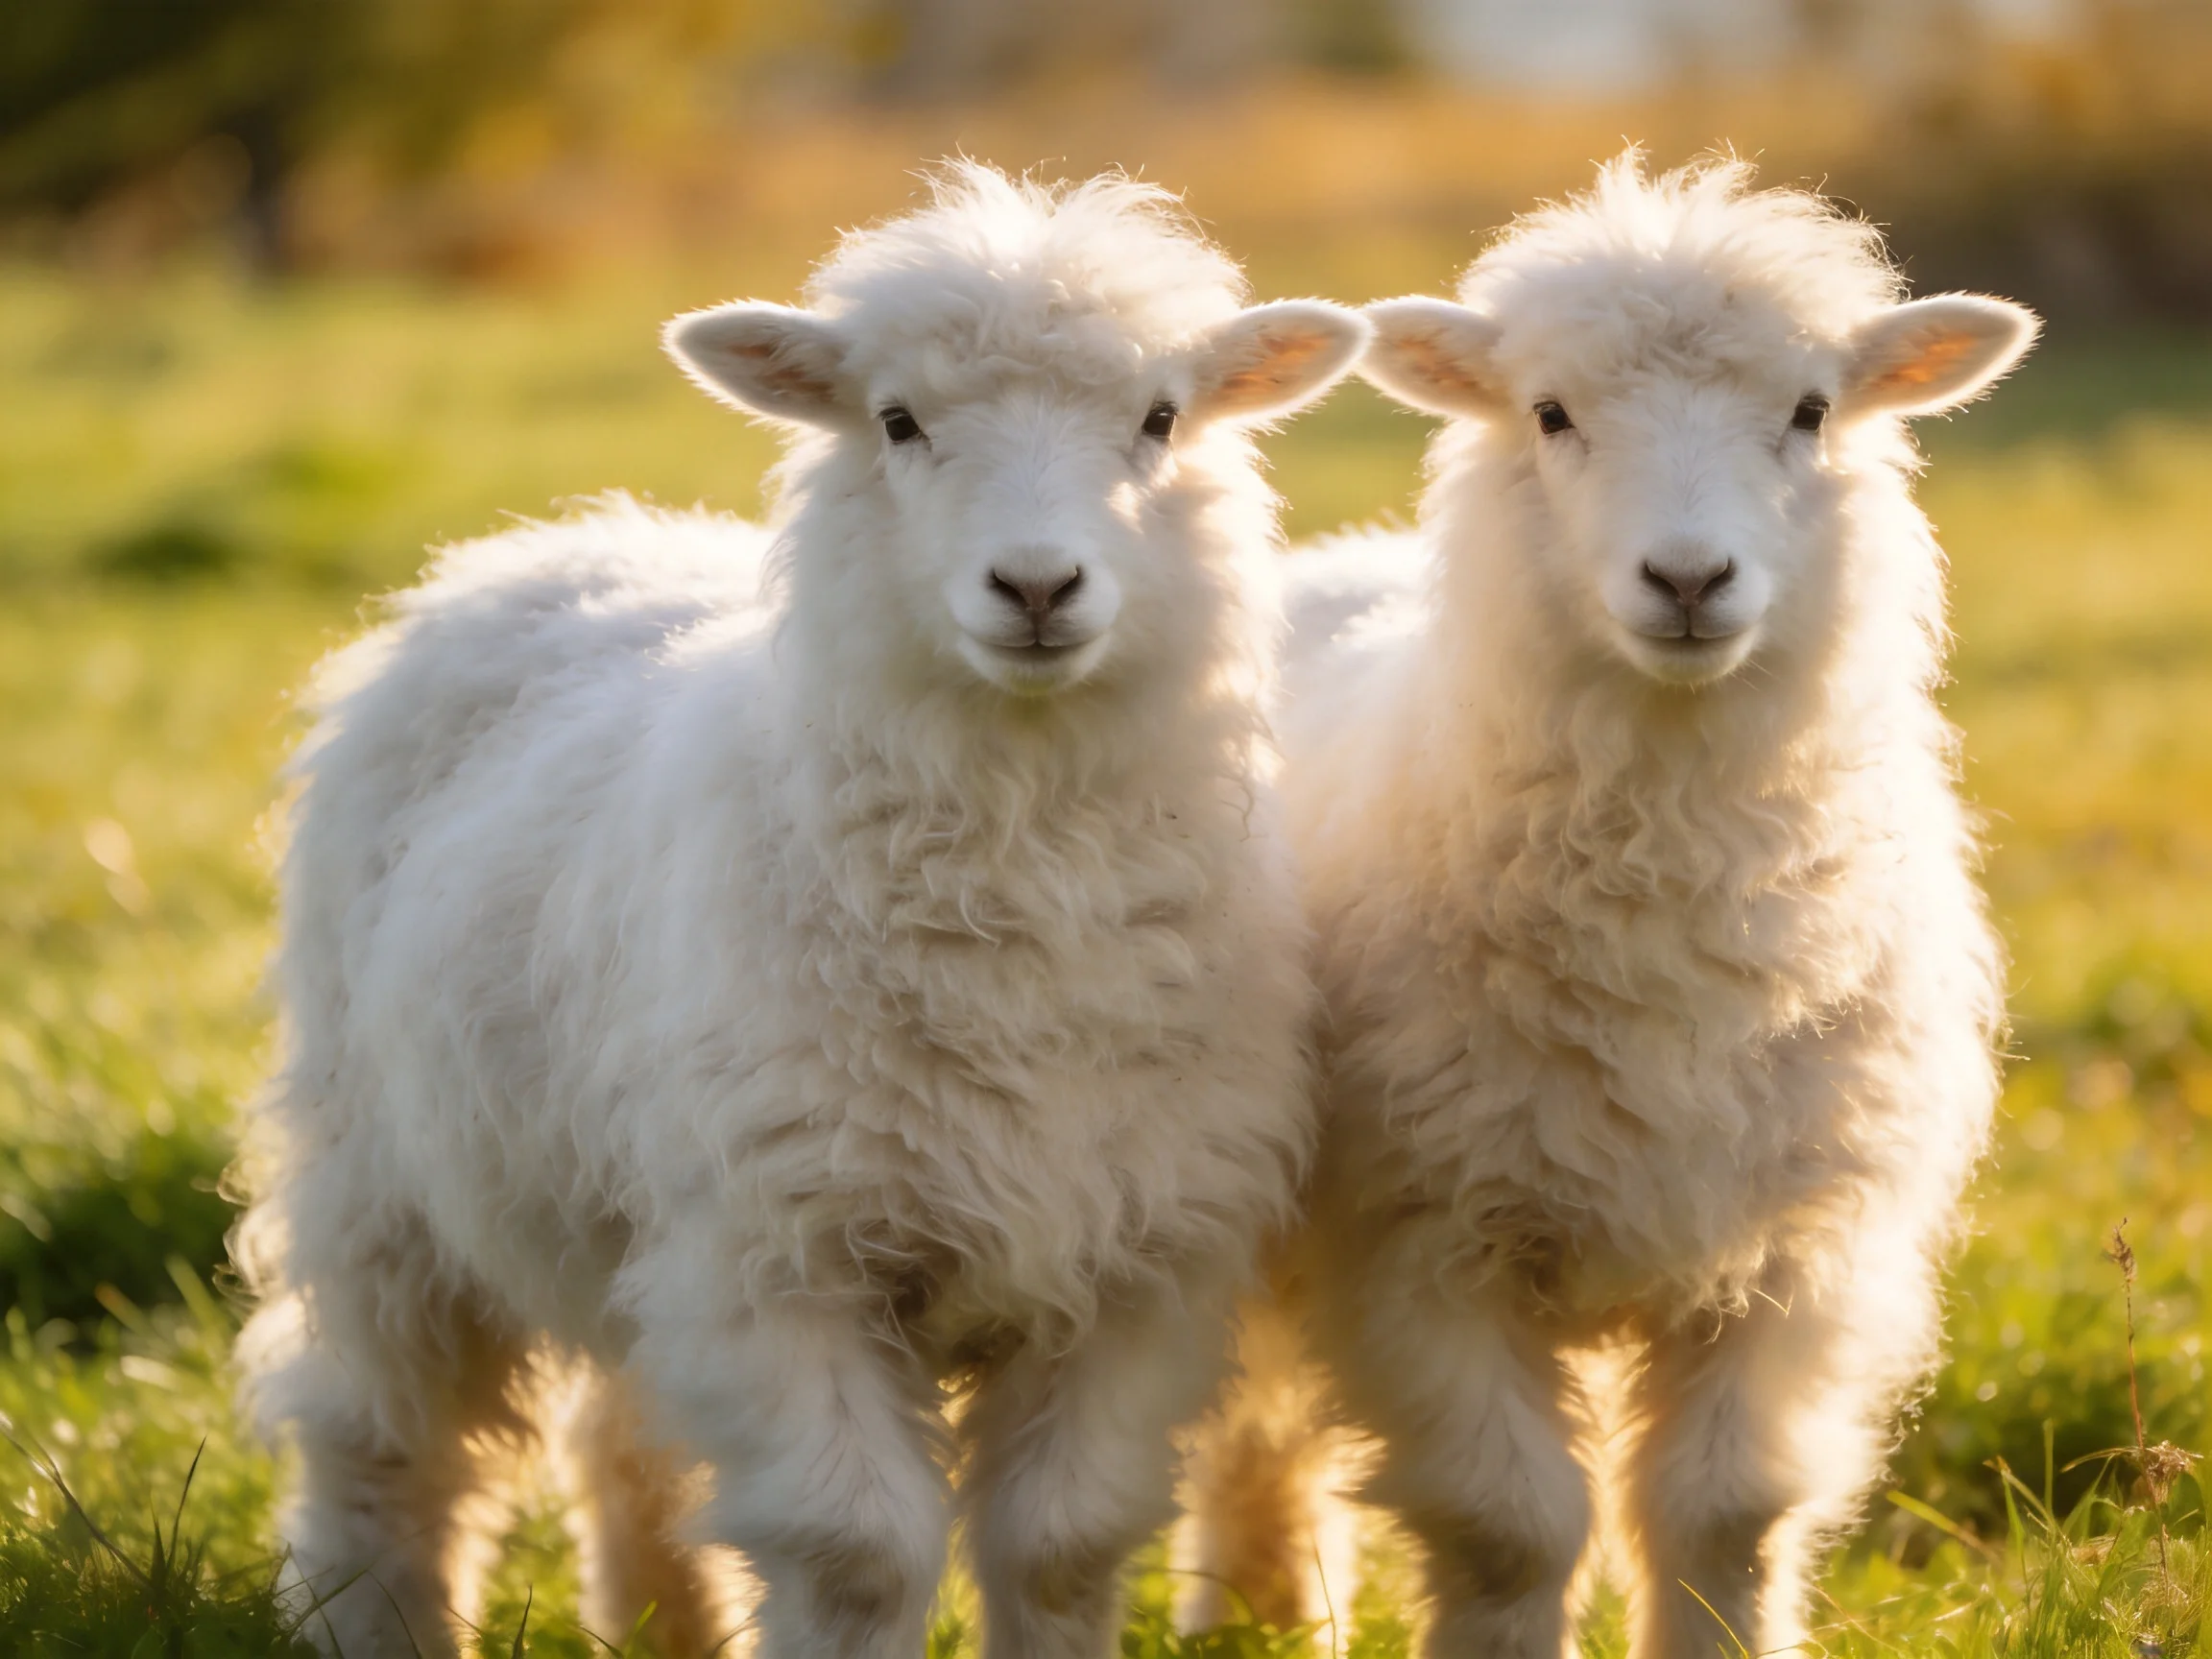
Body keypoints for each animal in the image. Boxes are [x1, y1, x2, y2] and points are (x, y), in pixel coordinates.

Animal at [233, 163, 1368, 1659]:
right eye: (896, 421)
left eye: (1160, 417)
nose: (1038, 586)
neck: (1021, 895)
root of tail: (562, 534)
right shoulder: (776, 1255)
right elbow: (859, 1558)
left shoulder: (1140, 1261)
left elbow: (1061, 1545)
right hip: (383, 1172)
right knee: (378, 1436)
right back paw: (378, 1619)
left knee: (622, 1436)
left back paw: (662, 1623)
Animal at [1195, 154, 2038, 1657]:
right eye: (1551, 414)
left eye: (1811, 411)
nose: (1690, 580)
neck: (1672, 900)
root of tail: (1347, 560)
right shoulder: (1419, 1243)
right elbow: (1511, 1528)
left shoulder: (1798, 1251)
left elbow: (1725, 1517)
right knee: (1248, 1413)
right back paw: (1251, 1608)